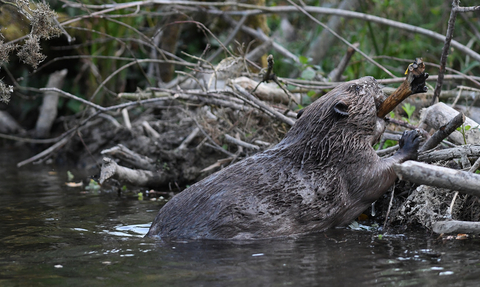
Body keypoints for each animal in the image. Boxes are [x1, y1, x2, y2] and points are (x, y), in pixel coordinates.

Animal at [146, 76, 420, 241]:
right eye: (356, 87)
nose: (372, 79)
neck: (323, 143)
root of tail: (153, 231)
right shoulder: (350, 159)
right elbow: (375, 177)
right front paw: (410, 139)